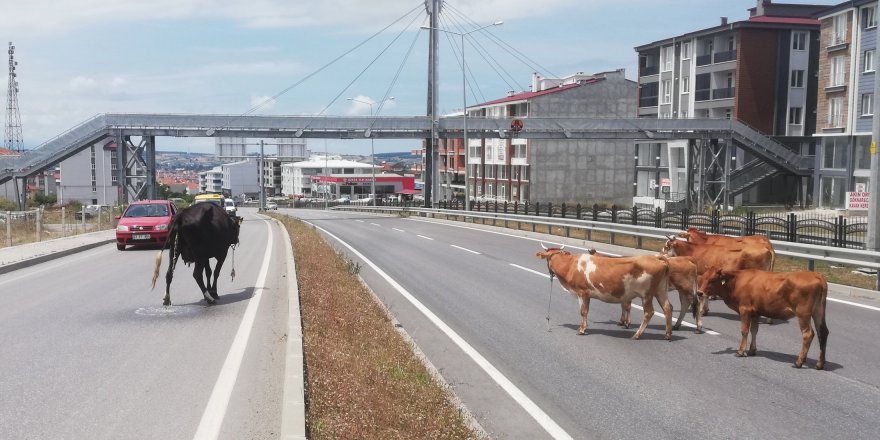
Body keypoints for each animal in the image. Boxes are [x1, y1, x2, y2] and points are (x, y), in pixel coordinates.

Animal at [532, 248, 672, 340]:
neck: (570, 265)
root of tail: (656, 257)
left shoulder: (581, 292)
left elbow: (583, 311)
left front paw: (581, 330)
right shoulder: (587, 295)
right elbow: (586, 311)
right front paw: (584, 328)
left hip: (646, 294)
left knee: (649, 312)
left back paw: (637, 335)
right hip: (661, 290)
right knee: (667, 308)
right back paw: (668, 335)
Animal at [696, 268, 828, 372]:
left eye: (713, 280)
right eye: (703, 278)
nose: (699, 293)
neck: (737, 281)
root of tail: (817, 275)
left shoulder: (745, 309)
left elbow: (744, 330)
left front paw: (741, 351)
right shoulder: (755, 313)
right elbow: (754, 330)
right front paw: (752, 350)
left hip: (803, 314)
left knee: (808, 334)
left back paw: (799, 362)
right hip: (818, 312)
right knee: (823, 333)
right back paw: (819, 364)